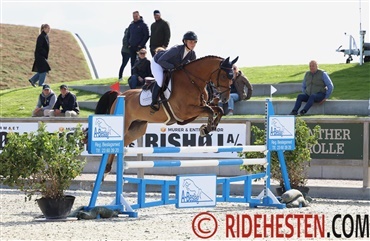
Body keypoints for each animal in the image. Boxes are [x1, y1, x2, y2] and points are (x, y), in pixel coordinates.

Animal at [102, 55, 240, 174]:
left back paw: (107, 169)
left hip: (137, 128)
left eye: (232, 77)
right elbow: (210, 110)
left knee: (124, 141)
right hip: (125, 124)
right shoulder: (185, 111)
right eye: (224, 76)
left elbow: (217, 110)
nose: (225, 98)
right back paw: (106, 169)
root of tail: (120, 95)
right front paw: (206, 129)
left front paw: (209, 127)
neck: (192, 80)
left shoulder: (197, 109)